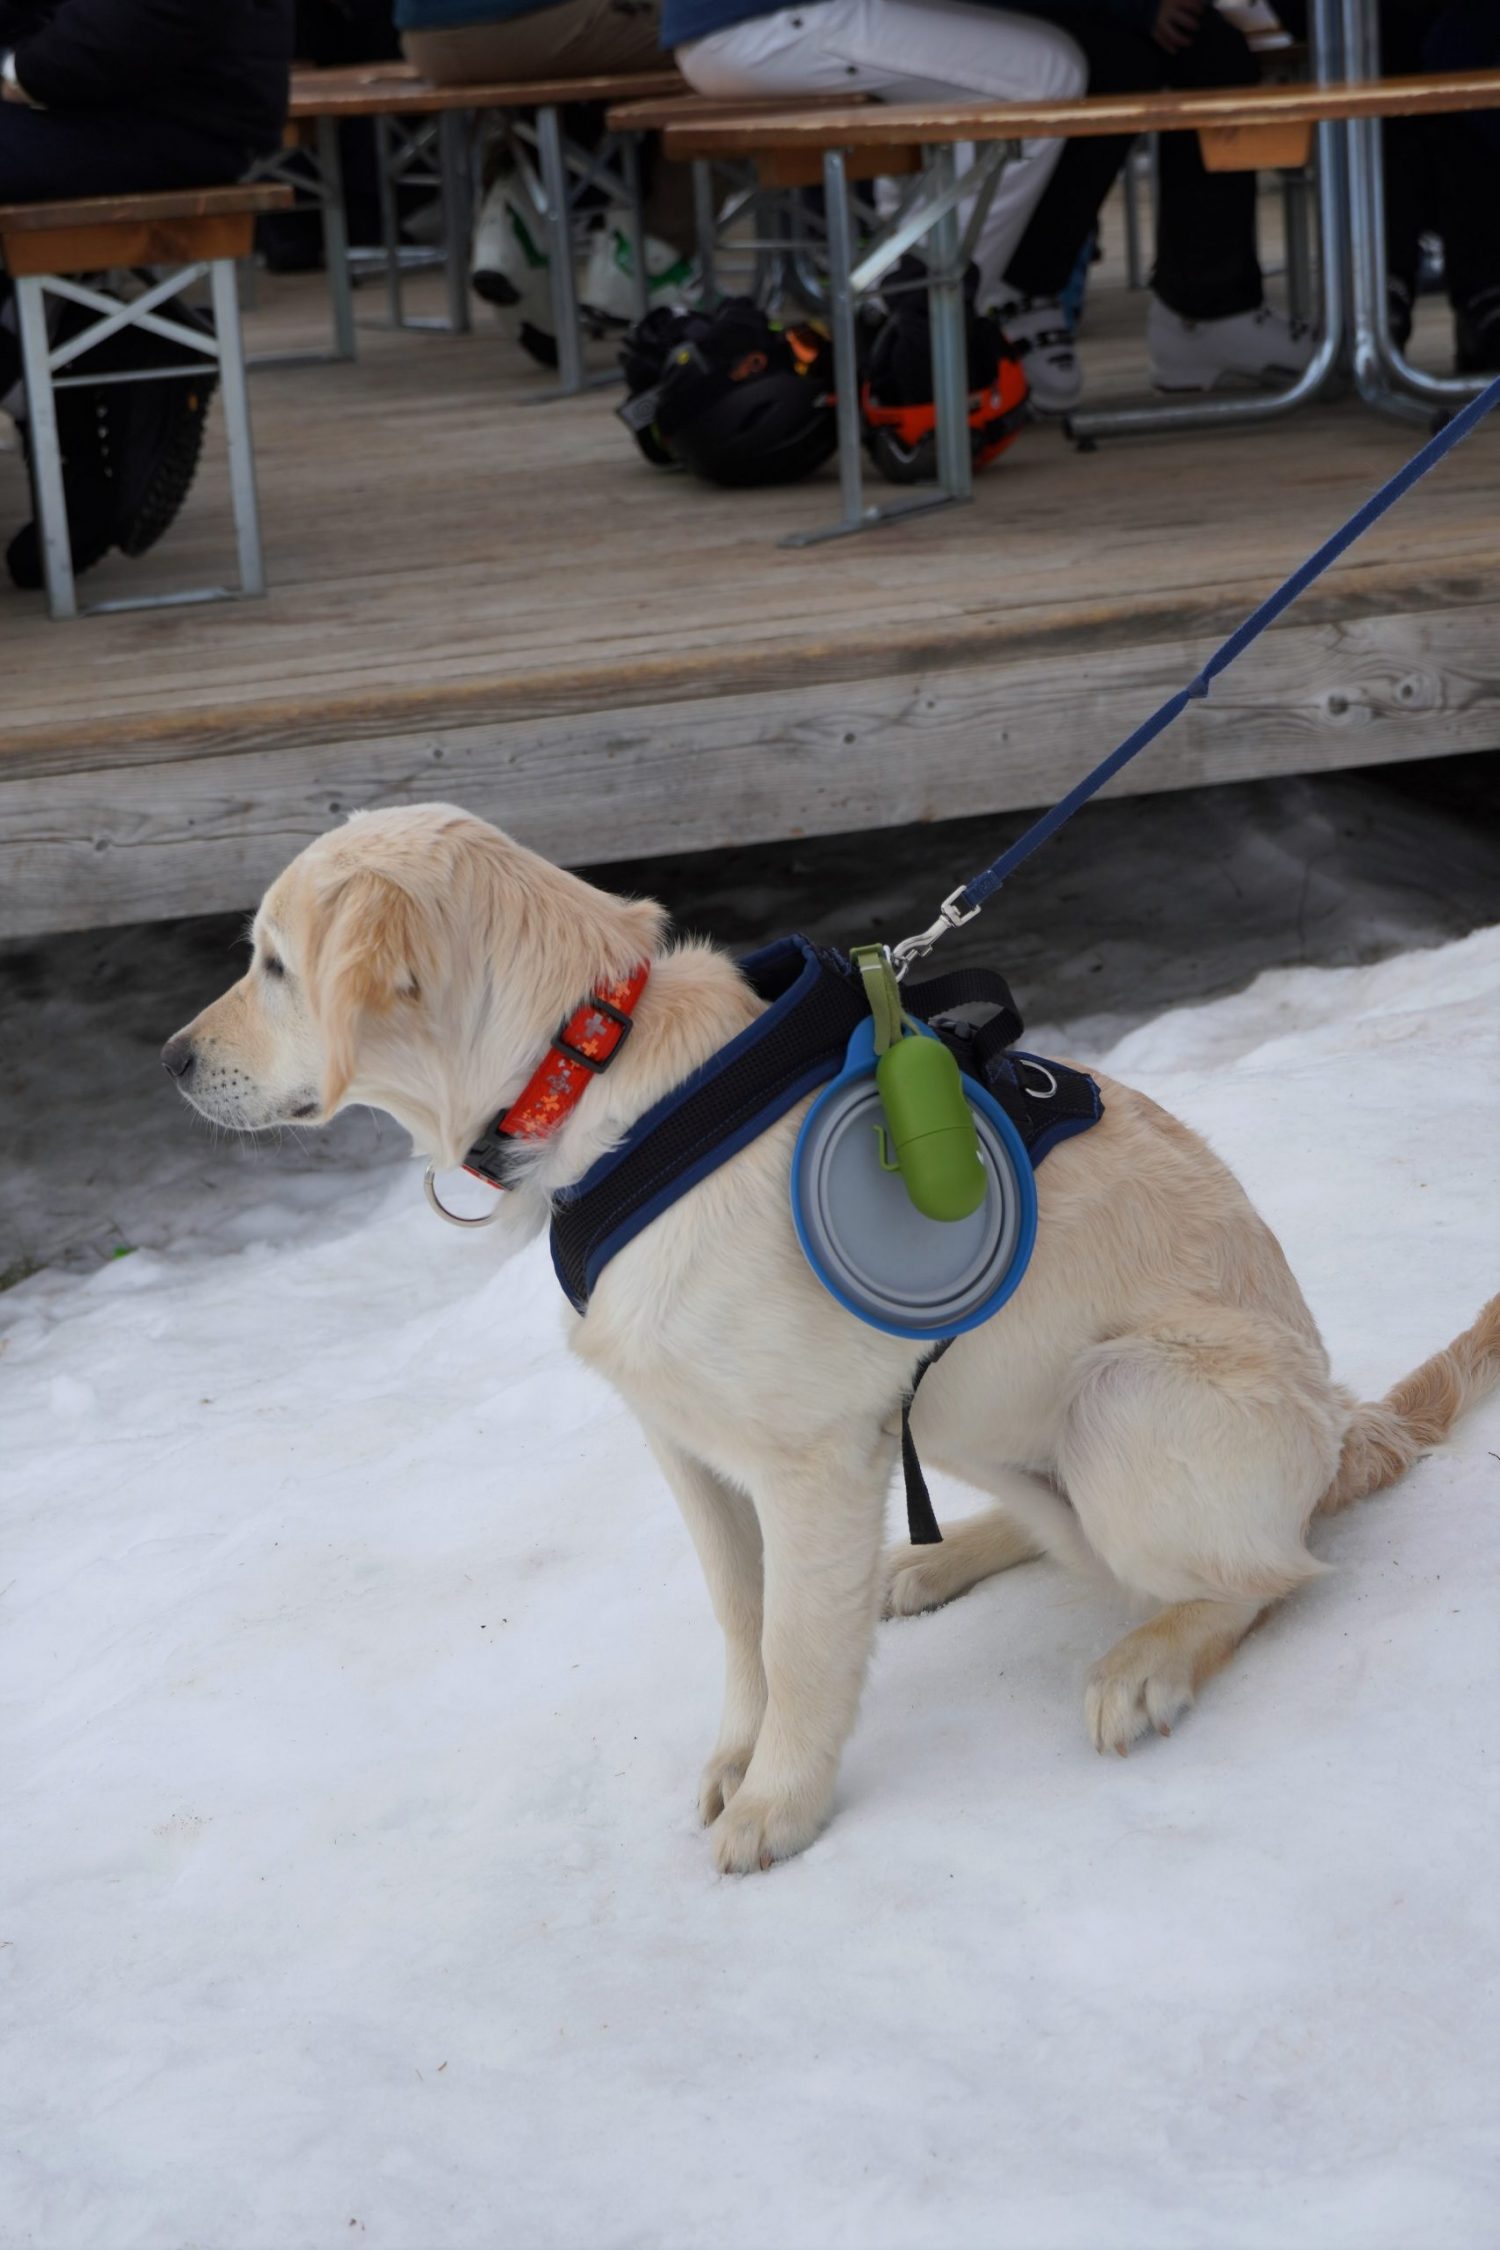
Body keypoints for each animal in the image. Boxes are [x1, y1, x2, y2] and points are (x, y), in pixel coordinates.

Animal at [164, 801, 1500, 1872]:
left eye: (273, 965)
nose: (172, 1061)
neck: (596, 1071)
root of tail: (1347, 1431)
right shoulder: (691, 1446)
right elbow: (741, 1618)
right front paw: (741, 1757)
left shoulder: (809, 1458)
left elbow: (800, 1643)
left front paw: (782, 1803)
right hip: (968, 1414)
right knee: (1075, 1537)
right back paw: (938, 1559)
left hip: (1119, 1398)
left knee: (1269, 1576)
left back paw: (1152, 1659)